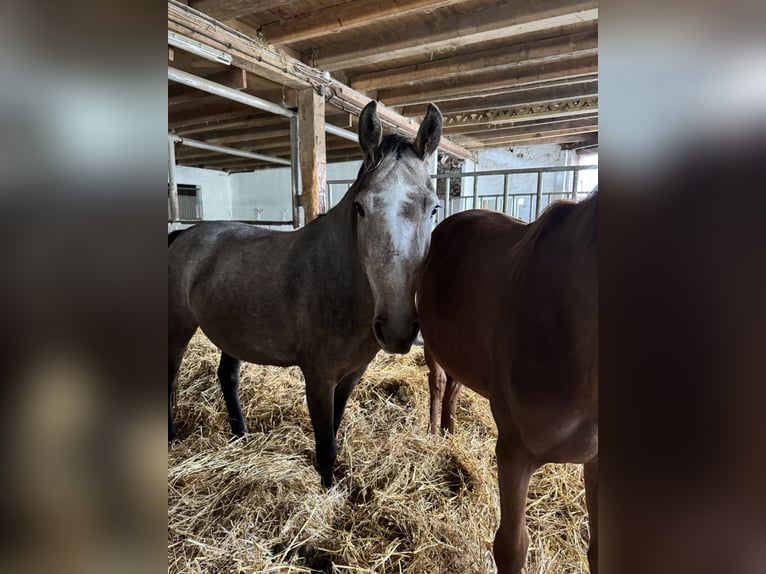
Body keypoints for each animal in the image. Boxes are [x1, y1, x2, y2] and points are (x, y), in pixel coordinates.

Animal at [420, 195, 600, 574]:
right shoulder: (514, 453)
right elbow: (511, 548)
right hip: (432, 343)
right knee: (439, 381)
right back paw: (432, 431)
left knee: (455, 387)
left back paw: (450, 430)